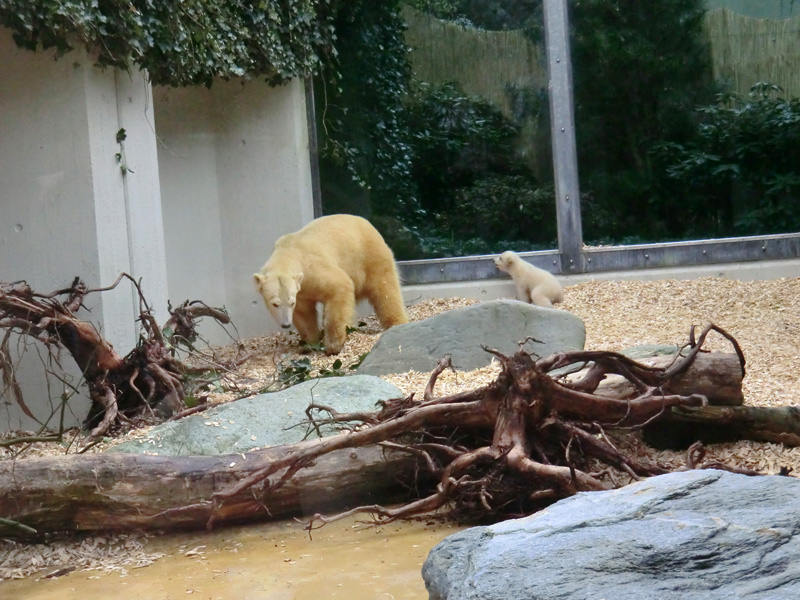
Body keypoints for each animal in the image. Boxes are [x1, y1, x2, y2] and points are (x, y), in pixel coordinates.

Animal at [255, 214, 410, 354]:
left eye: (290, 302)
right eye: (275, 304)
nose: (286, 324)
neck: (288, 251)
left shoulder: (313, 269)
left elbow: (339, 287)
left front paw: (333, 345)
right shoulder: (301, 290)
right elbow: (304, 313)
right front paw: (308, 345)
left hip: (370, 256)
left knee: (385, 291)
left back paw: (396, 323)